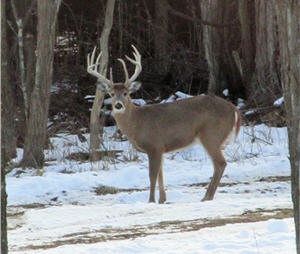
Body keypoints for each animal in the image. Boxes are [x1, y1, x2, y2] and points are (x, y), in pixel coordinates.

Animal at [86, 45, 241, 204]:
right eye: (111, 94)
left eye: (126, 93)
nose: (118, 105)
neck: (136, 122)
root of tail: (234, 110)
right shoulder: (160, 149)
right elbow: (160, 173)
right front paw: (162, 199)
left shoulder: (154, 145)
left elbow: (152, 175)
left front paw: (151, 201)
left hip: (211, 135)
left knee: (220, 163)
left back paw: (206, 197)